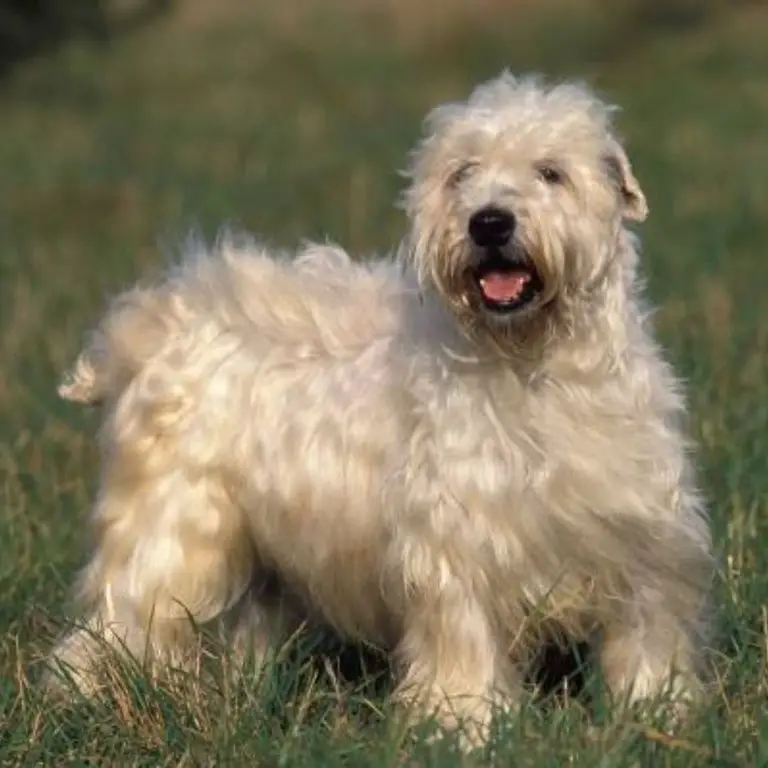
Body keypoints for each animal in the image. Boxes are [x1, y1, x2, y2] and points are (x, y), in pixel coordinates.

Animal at [48, 72, 712, 744]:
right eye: (462, 173)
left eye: (550, 172)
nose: (489, 223)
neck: (535, 369)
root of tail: (156, 320)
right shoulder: (456, 552)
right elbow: (464, 645)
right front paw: (464, 725)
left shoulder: (643, 547)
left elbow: (648, 641)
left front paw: (658, 716)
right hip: (172, 532)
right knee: (116, 625)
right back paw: (97, 704)